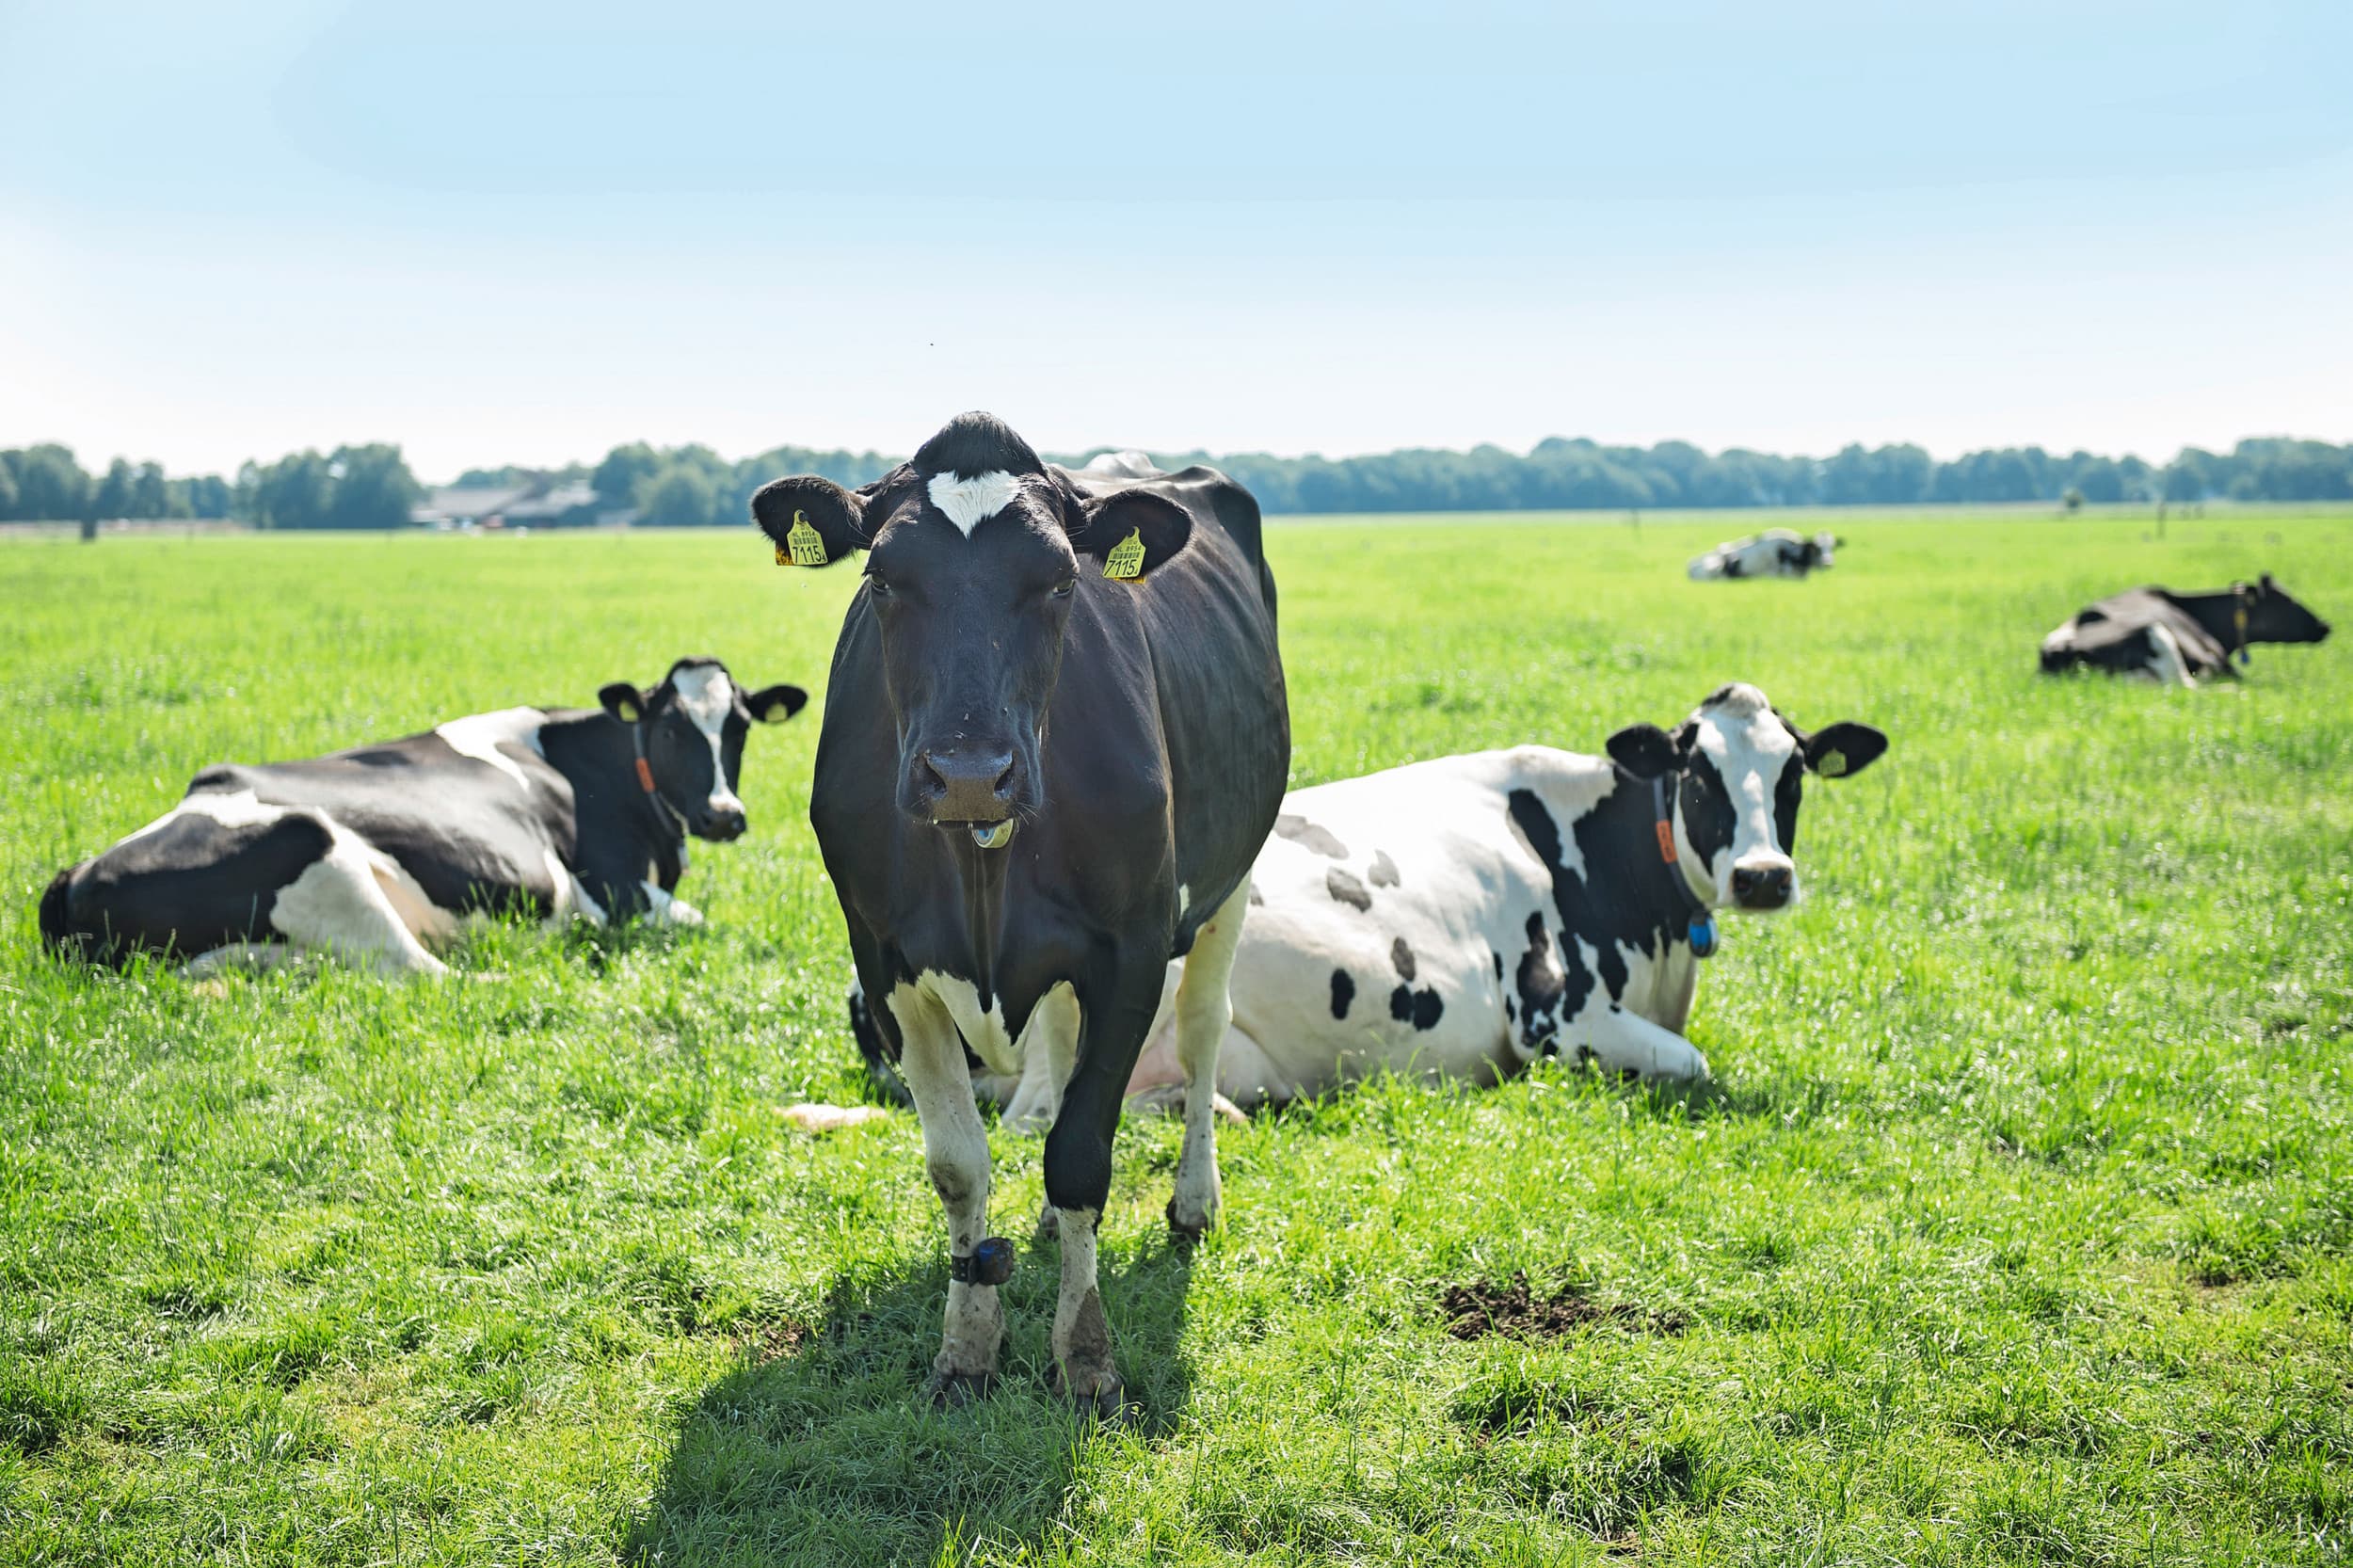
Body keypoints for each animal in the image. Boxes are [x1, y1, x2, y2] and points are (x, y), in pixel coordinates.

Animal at [39, 658, 805, 975]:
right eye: (672, 727)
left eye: (739, 726)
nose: (725, 816)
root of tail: (78, 873)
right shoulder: (611, 889)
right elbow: (695, 919)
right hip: (317, 849)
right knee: (424, 973)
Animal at [756, 413, 1287, 1417]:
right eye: (882, 578)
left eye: (1061, 581)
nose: (970, 774)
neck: (982, 865)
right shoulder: (885, 961)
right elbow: (959, 1162)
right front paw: (967, 1349)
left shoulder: (1130, 951)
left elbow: (1082, 1154)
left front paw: (1085, 1357)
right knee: (1065, 1048)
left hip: (1229, 881)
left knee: (1205, 1028)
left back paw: (1195, 1200)